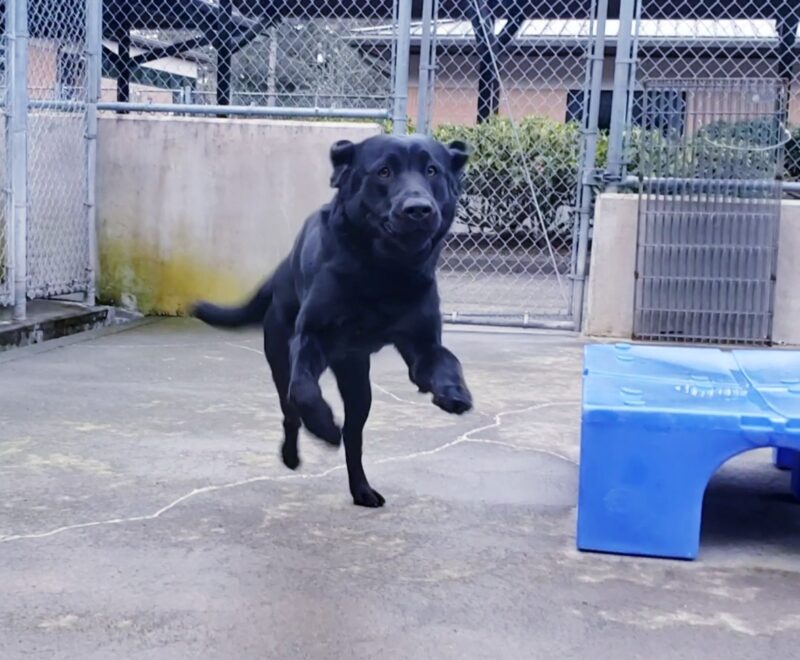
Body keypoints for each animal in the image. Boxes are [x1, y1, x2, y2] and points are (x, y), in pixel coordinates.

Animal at [192, 133, 468, 506]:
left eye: (431, 170)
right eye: (383, 171)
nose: (418, 209)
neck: (384, 272)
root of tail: (279, 273)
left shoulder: (423, 345)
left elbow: (447, 362)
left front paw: (454, 392)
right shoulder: (310, 338)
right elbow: (305, 391)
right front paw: (323, 426)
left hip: (359, 386)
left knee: (354, 436)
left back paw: (362, 490)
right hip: (280, 360)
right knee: (290, 410)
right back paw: (292, 455)